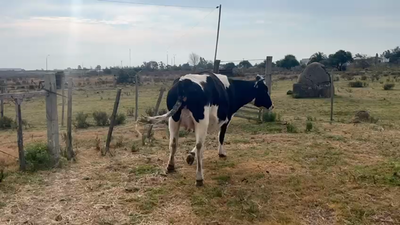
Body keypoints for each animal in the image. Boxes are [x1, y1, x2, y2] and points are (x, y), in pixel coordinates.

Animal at [147, 72, 276, 186]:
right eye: (265, 89)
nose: (272, 105)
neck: (232, 89)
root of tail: (183, 83)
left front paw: (190, 155)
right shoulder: (225, 120)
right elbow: (221, 136)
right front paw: (221, 153)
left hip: (174, 119)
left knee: (173, 143)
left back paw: (170, 166)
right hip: (201, 120)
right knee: (200, 146)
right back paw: (199, 178)